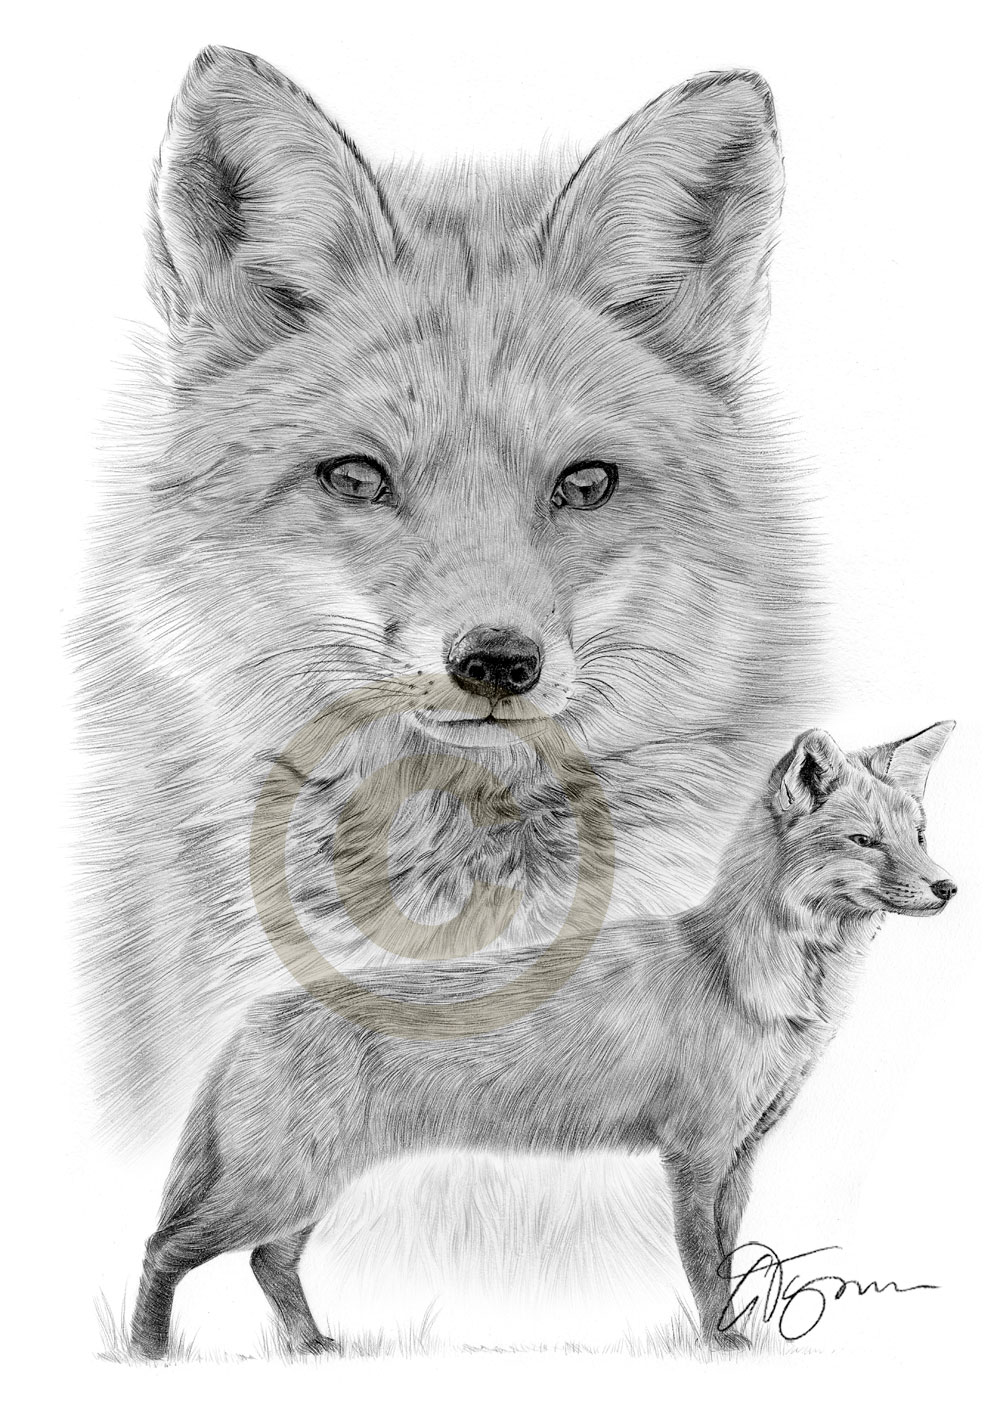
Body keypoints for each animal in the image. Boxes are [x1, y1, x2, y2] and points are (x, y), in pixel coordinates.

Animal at [130, 720, 956, 1358]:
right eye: (864, 841)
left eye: (918, 837)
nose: (948, 887)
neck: (744, 978)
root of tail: (252, 1016)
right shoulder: (694, 1153)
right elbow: (703, 1266)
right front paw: (719, 1345)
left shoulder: (742, 1156)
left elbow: (727, 1260)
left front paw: (731, 1336)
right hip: (279, 1186)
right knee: (162, 1249)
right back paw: (147, 1353)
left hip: (305, 1189)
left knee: (267, 1263)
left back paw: (308, 1346)